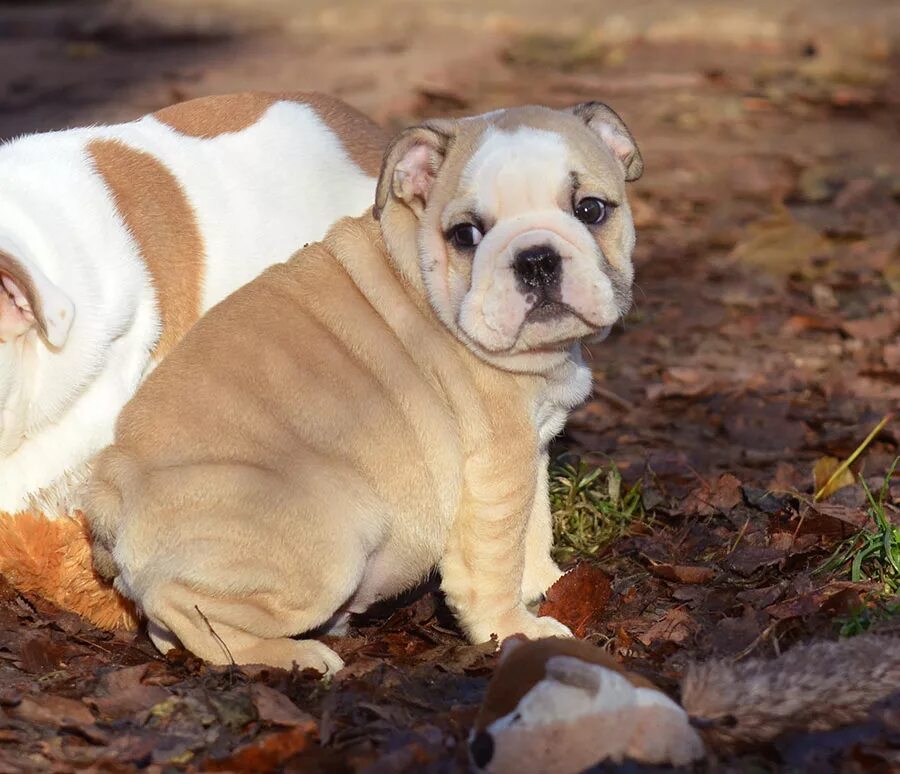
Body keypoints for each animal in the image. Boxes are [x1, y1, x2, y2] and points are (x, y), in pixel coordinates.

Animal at [88, 101, 644, 672]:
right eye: (465, 235)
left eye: (591, 210)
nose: (536, 258)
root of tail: (115, 489)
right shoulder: (497, 466)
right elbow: (495, 560)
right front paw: (514, 629)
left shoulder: (529, 454)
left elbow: (533, 530)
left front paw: (553, 585)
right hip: (329, 546)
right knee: (186, 607)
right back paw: (299, 655)